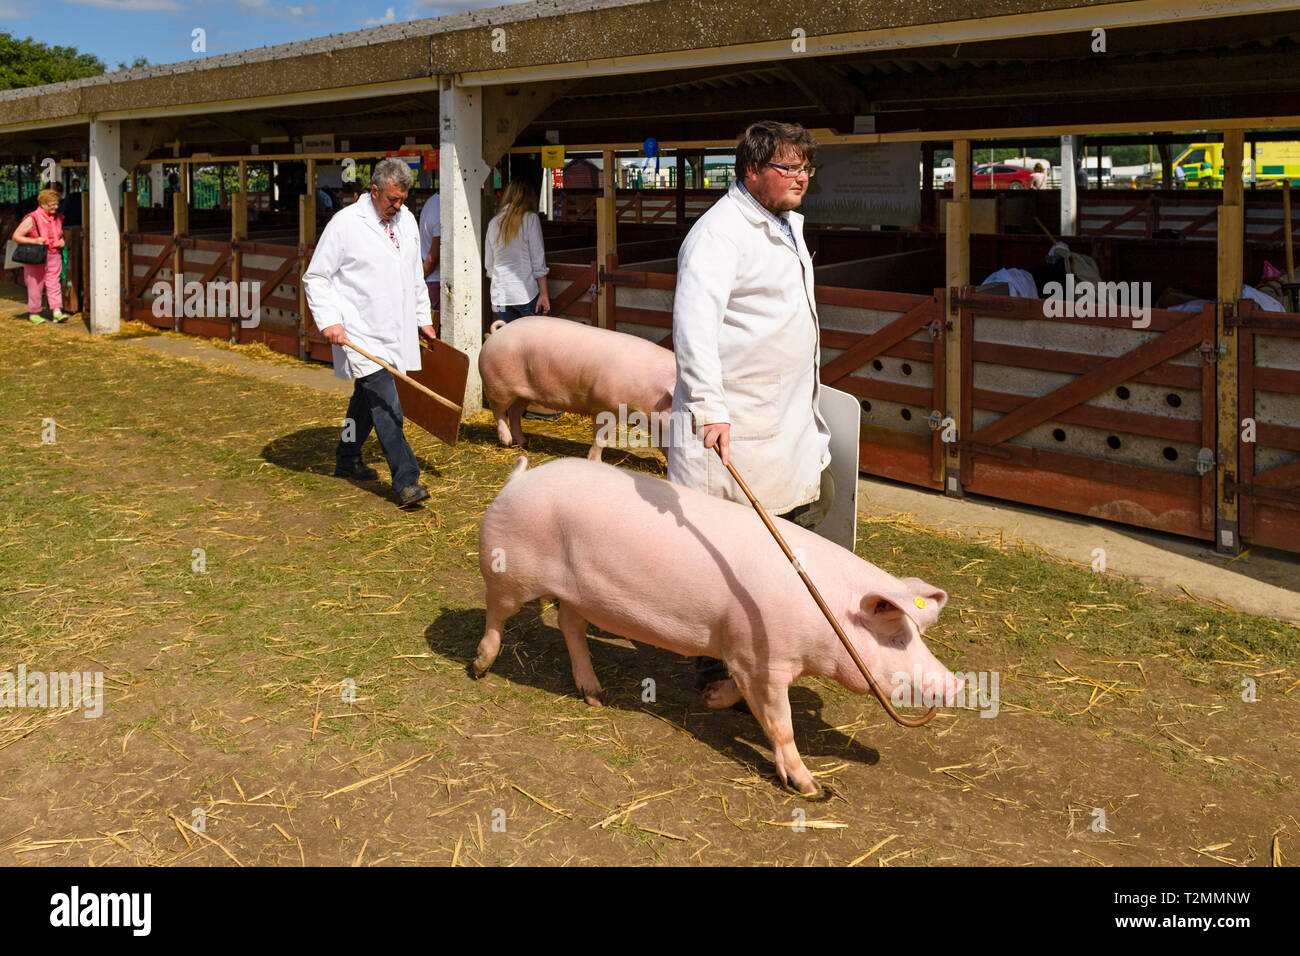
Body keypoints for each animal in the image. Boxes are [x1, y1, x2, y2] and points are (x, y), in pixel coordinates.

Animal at [478, 460, 967, 796]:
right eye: (897, 638)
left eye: (917, 636)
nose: (957, 684)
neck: (822, 614)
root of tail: (518, 479)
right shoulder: (763, 659)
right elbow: (781, 726)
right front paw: (814, 791)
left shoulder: (747, 656)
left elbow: (743, 693)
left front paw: (711, 699)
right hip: (508, 570)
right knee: (496, 614)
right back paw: (480, 667)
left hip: (580, 595)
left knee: (570, 625)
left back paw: (596, 697)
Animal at [480, 316, 681, 463]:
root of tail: (499, 331)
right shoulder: (604, 405)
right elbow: (601, 437)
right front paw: (596, 462)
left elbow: (663, 442)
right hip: (498, 385)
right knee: (499, 411)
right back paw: (507, 442)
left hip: (524, 393)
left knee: (514, 411)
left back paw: (524, 443)